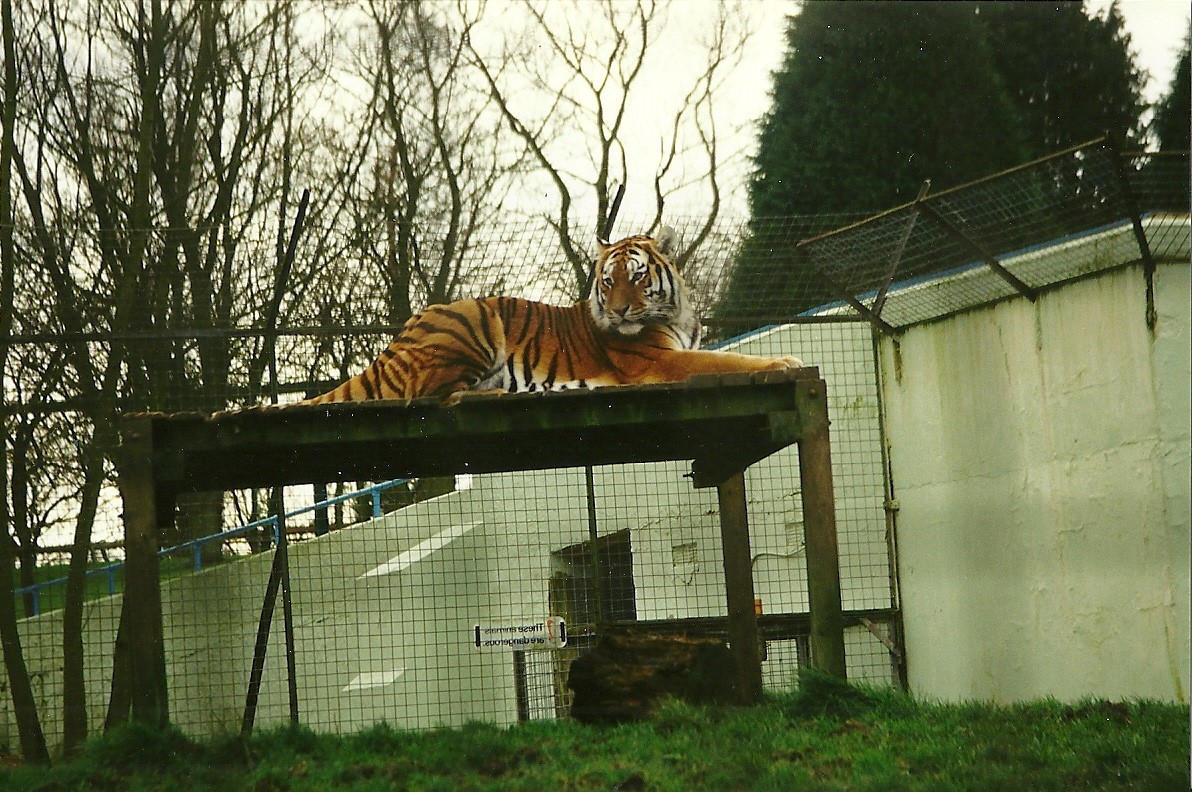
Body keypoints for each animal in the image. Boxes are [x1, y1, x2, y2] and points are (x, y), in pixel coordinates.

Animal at [304, 228, 802, 405]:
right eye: (608, 281)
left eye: (638, 276)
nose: (618, 310)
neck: (676, 312)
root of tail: (402, 333)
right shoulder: (661, 361)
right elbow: (729, 361)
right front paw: (785, 362)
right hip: (475, 322)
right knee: (429, 395)